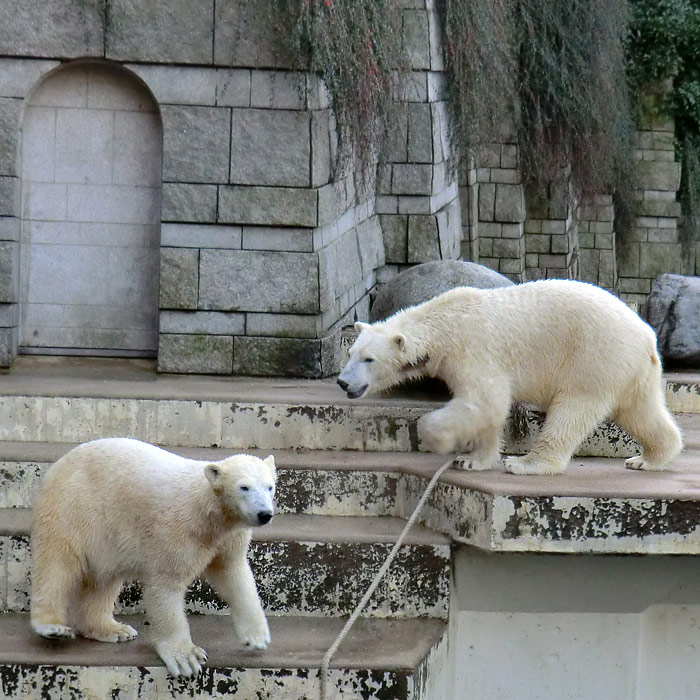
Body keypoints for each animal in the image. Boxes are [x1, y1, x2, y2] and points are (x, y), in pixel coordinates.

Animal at [30, 438, 276, 680]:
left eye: (270, 486)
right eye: (244, 487)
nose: (265, 514)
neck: (207, 512)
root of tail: (58, 464)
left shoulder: (229, 537)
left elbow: (233, 573)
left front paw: (256, 637)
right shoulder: (178, 531)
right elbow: (166, 585)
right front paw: (186, 658)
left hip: (106, 537)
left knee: (104, 580)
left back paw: (112, 629)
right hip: (73, 508)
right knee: (59, 565)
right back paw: (52, 627)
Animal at [340, 278, 684, 476]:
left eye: (369, 359)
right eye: (351, 353)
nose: (343, 382)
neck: (443, 323)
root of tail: (647, 335)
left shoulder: (472, 349)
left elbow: (486, 401)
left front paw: (438, 440)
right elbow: (487, 411)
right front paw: (474, 459)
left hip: (594, 357)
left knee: (572, 410)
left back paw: (526, 464)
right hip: (630, 370)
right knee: (640, 411)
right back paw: (648, 458)